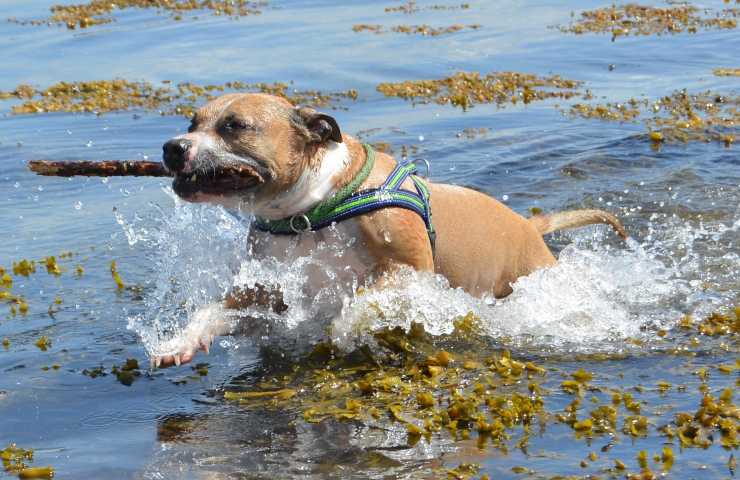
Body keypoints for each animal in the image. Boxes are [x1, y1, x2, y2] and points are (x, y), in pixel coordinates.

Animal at [152, 93, 624, 368]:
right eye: (192, 123)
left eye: (234, 126)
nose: (172, 146)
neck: (311, 211)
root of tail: (529, 225)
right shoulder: (267, 290)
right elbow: (211, 312)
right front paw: (179, 341)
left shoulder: (407, 270)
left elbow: (360, 302)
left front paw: (345, 331)